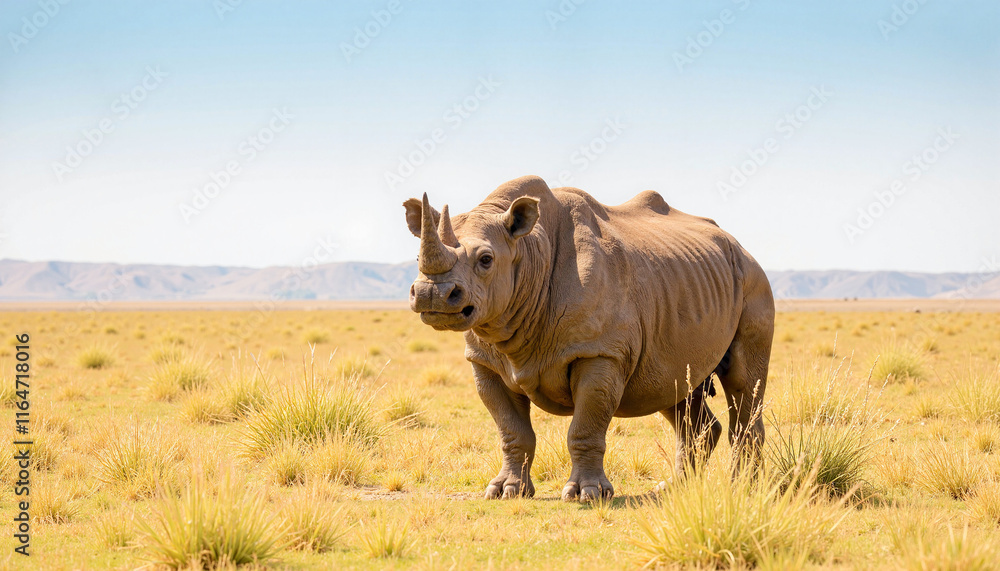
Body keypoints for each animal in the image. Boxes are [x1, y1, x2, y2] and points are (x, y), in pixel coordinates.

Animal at [404, 176, 774, 502]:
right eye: (418, 260)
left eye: (486, 260)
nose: (433, 294)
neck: (528, 251)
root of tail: (736, 244)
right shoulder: (485, 362)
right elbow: (511, 430)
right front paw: (506, 491)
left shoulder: (600, 352)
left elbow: (585, 427)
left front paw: (586, 495)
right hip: (686, 286)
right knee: (676, 387)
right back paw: (673, 490)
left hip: (752, 279)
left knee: (743, 384)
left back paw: (744, 490)